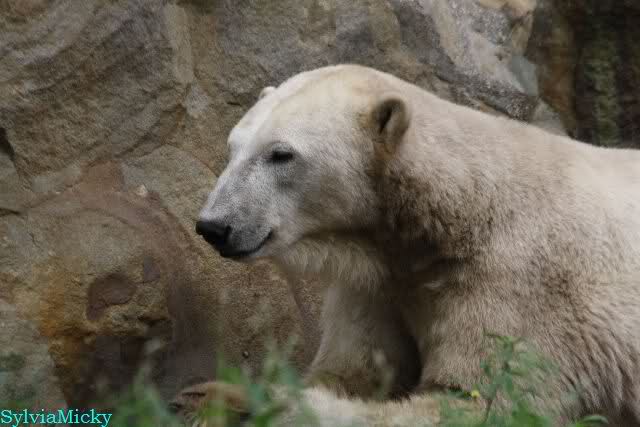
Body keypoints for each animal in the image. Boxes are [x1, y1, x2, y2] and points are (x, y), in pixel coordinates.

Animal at [173, 64, 640, 426]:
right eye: (232, 147)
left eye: (281, 154)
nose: (214, 226)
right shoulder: (378, 278)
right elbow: (353, 368)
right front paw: (208, 396)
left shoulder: (519, 287)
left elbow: (478, 399)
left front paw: (276, 404)